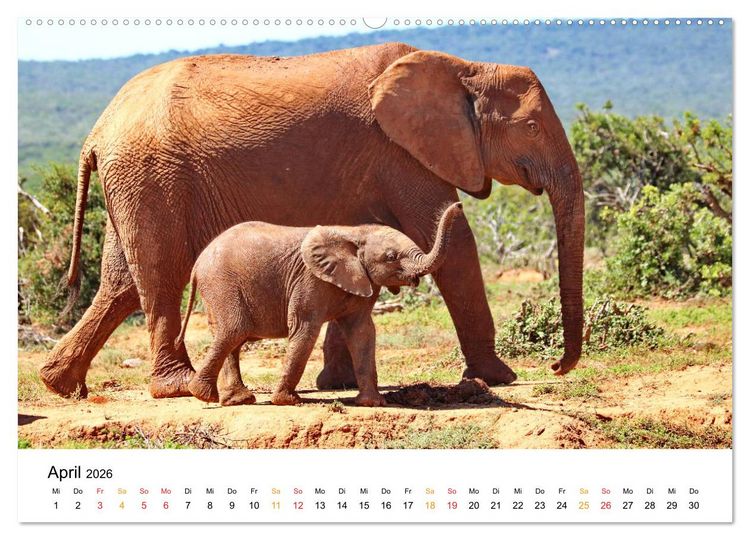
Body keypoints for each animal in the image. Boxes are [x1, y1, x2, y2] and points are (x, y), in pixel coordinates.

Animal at [175, 202, 462, 407]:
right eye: (391, 257)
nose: (459, 205)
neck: (354, 233)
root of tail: (197, 264)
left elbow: (362, 332)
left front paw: (373, 403)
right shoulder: (310, 279)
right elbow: (305, 330)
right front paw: (287, 401)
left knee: (231, 336)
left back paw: (237, 400)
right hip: (222, 284)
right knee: (233, 330)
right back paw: (202, 395)